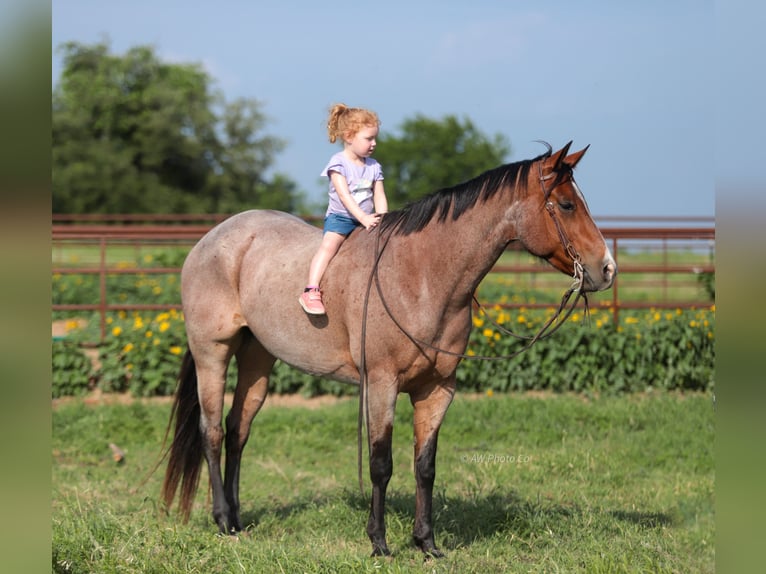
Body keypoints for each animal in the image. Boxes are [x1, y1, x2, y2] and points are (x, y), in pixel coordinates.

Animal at [161, 141, 616, 557]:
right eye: (566, 204)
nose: (607, 269)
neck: (422, 276)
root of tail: (210, 240)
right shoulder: (381, 384)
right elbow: (381, 465)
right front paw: (379, 542)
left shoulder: (437, 389)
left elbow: (425, 467)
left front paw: (426, 543)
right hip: (213, 354)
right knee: (213, 431)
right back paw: (223, 520)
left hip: (258, 358)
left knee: (238, 431)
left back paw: (238, 520)